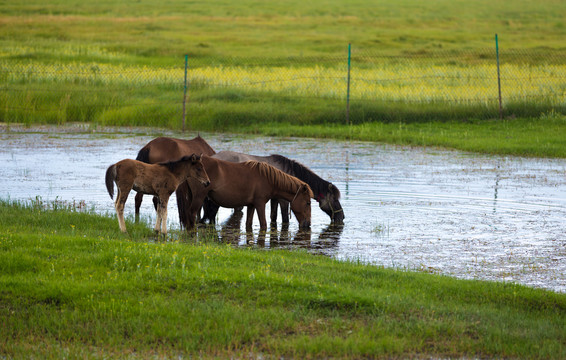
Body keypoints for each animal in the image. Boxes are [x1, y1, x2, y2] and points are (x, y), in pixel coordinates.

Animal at [178, 157, 316, 231]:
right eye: (308, 203)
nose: (308, 224)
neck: (268, 179)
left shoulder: (251, 205)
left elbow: (248, 224)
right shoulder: (260, 204)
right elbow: (263, 225)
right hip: (198, 197)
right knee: (191, 214)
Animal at [206, 150, 344, 224]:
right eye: (335, 199)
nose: (342, 217)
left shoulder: (274, 199)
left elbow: (273, 217)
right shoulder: (283, 201)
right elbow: (284, 219)